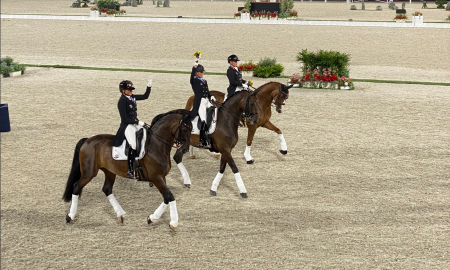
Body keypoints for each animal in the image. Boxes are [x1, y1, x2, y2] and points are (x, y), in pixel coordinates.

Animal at [61, 108, 192, 231]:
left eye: (192, 129)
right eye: (185, 128)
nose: (185, 149)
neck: (156, 145)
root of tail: (87, 140)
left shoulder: (162, 177)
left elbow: (166, 198)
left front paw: (152, 218)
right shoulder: (156, 178)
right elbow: (170, 197)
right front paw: (173, 223)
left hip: (109, 171)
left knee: (107, 189)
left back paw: (120, 214)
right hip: (89, 173)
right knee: (76, 187)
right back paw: (70, 216)